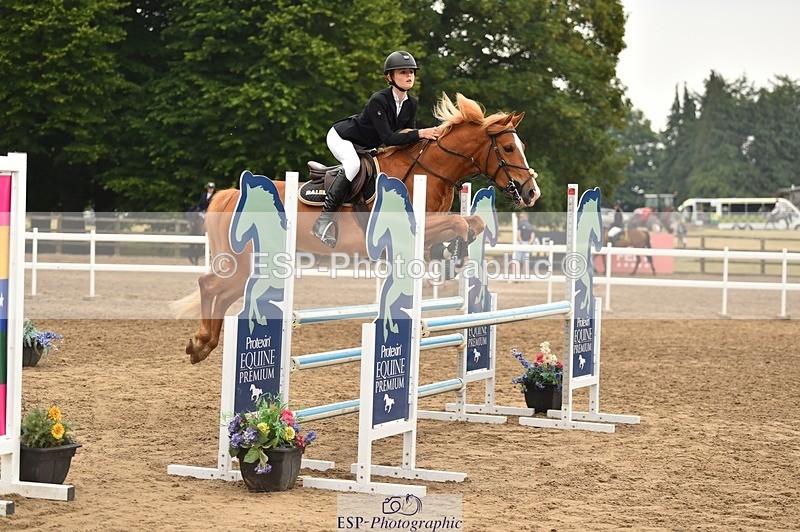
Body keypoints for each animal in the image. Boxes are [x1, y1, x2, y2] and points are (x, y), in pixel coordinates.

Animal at [172, 93, 541, 364]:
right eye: (509, 148)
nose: (531, 192)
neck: (429, 170)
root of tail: (232, 193)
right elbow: (460, 222)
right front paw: (457, 254)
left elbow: (469, 223)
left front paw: (454, 255)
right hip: (245, 260)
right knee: (209, 284)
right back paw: (200, 342)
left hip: (252, 265)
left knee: (222, 292)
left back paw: (203, 345)